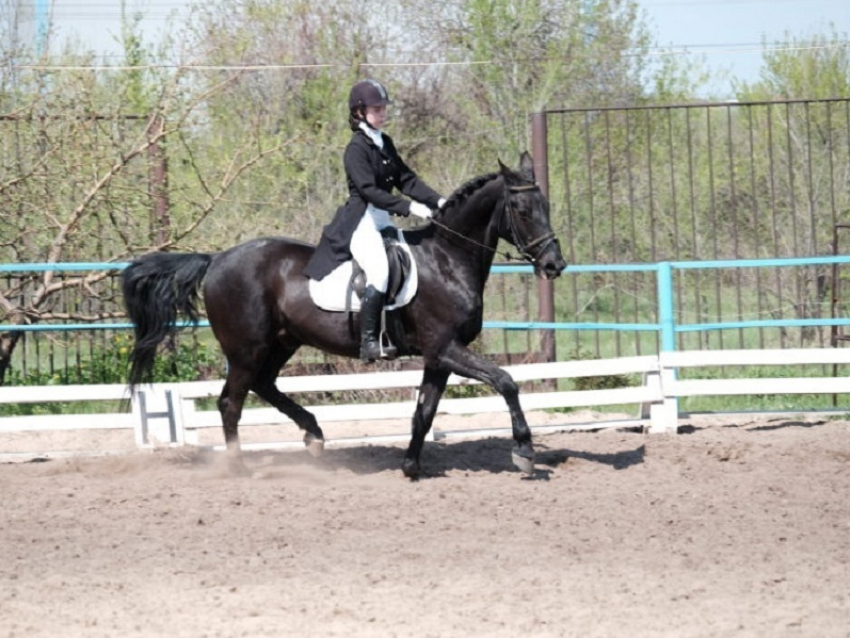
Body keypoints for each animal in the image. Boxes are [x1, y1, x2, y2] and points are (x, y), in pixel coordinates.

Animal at [121, 152, 564, 478]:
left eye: (545, 205)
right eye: (522, 209)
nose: (554, 265)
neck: (447, 258)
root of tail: (215, 260)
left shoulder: (439, 357)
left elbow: (424, 411)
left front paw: (410, 466)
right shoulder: (445, 348)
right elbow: (506, 381)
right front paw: (524, 451)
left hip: (282, 342)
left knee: (264, 385)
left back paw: (314, 435)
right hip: (246, 349)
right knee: (231, 402)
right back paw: (239, 467)